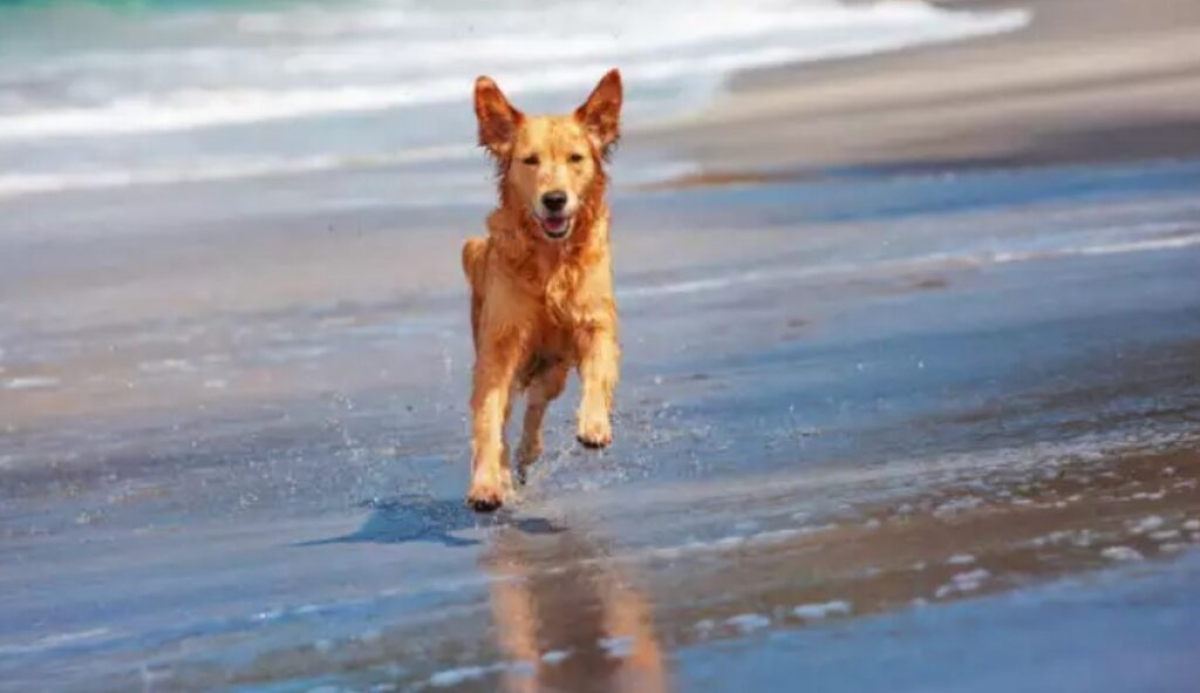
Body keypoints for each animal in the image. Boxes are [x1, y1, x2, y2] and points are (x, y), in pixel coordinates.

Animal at [460, 70, 624, 510]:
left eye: (576, 158)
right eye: (530, 160)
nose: (554, 200)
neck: (550, 262)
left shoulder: (594, 322)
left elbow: (599, 370)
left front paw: (594, 424)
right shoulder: (500, 345)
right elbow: (488, 417)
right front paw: (486, 483)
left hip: (554, 370)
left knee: (536, 406)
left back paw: (528, 451)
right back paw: (505, 470)